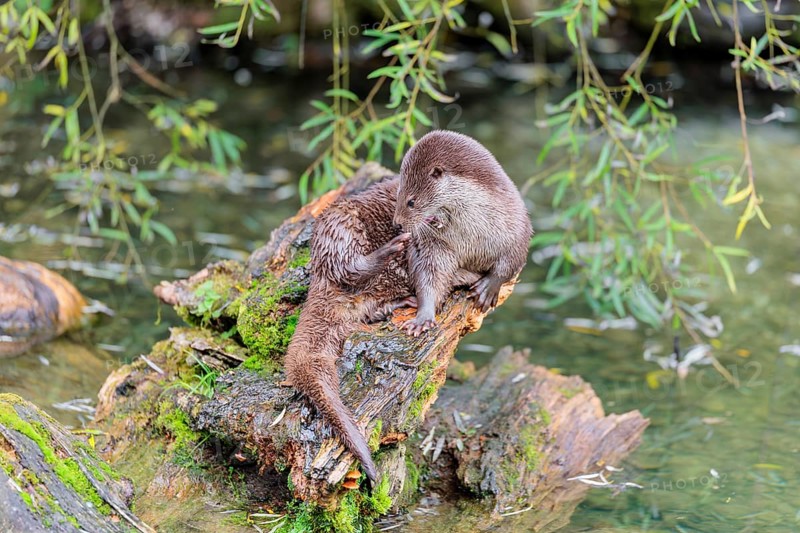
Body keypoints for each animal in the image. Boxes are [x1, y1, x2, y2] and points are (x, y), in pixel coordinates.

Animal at [393, 130, 533, 336]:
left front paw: (487, 287)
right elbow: (428, 278)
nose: (397, 224)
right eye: (398, 195)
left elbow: (511, 262)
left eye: (411, 201)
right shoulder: (432, 247)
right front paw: (422, 318)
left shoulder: (516, 226)